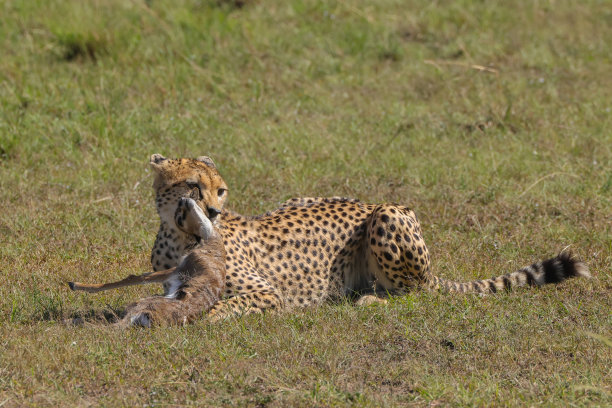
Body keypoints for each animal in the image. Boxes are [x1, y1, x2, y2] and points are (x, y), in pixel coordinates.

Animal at [69, 196, 226, 326]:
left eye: (179, 217)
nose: (182, 199)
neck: (213, 245)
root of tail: (152, 318)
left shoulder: (179, 268)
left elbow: (135, 277)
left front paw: (74, 284)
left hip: (138, 304)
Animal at [147, 155, 588, 320]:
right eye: (193, 186)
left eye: (220, 190)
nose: (215, 211)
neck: (181, 235)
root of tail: (364, 203)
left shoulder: (269, 293)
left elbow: (226, 304)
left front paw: (203, 316)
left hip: (388, 214)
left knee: (415, 293)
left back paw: (370, 300)